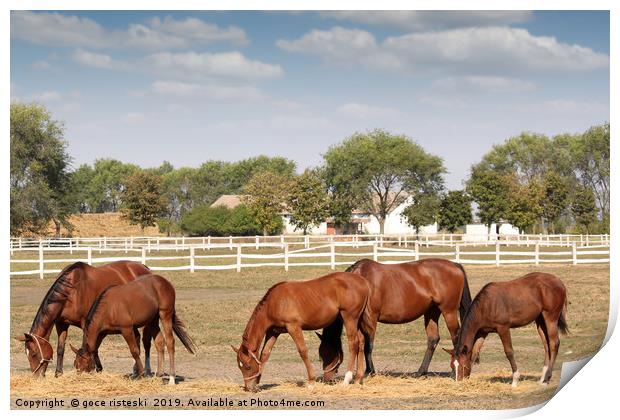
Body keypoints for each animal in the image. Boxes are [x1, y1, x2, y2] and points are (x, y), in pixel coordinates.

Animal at [17, 260, 151, 378]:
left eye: (34, 353)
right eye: (27, 354)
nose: (36, 376)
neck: (73, 291)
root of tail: (144, 267)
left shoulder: (87, 322)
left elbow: (91, 345)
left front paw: (96, 369)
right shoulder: (61, 324)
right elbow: (60, 348)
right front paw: (58, 373)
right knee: (136, 337)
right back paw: (135, 370)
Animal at [230, 270, 370, 392]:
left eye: (248, 366)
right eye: (239, 366)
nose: (248, 388)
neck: (274, 303)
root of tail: (363, 281)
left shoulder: (294, 327)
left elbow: (303, 351)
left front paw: (311, 382)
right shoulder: (273, 332)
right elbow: (264, 354)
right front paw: (258, 382)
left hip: (349, 318)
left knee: (353, 344)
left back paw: (347, 379)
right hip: (357, 321)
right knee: (361, 342)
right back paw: (358, 379)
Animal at [320, 258, 470, 378]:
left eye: (326, 353)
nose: (328, 378)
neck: (361, 281)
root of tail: (454, 265)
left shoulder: (370, 318)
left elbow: (368, 345)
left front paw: (370, 371)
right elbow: (361, 344)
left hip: (449, 311)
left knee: (456, 337)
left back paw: (454, 371)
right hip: (431, 312)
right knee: (433, 339)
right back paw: (420, 372)